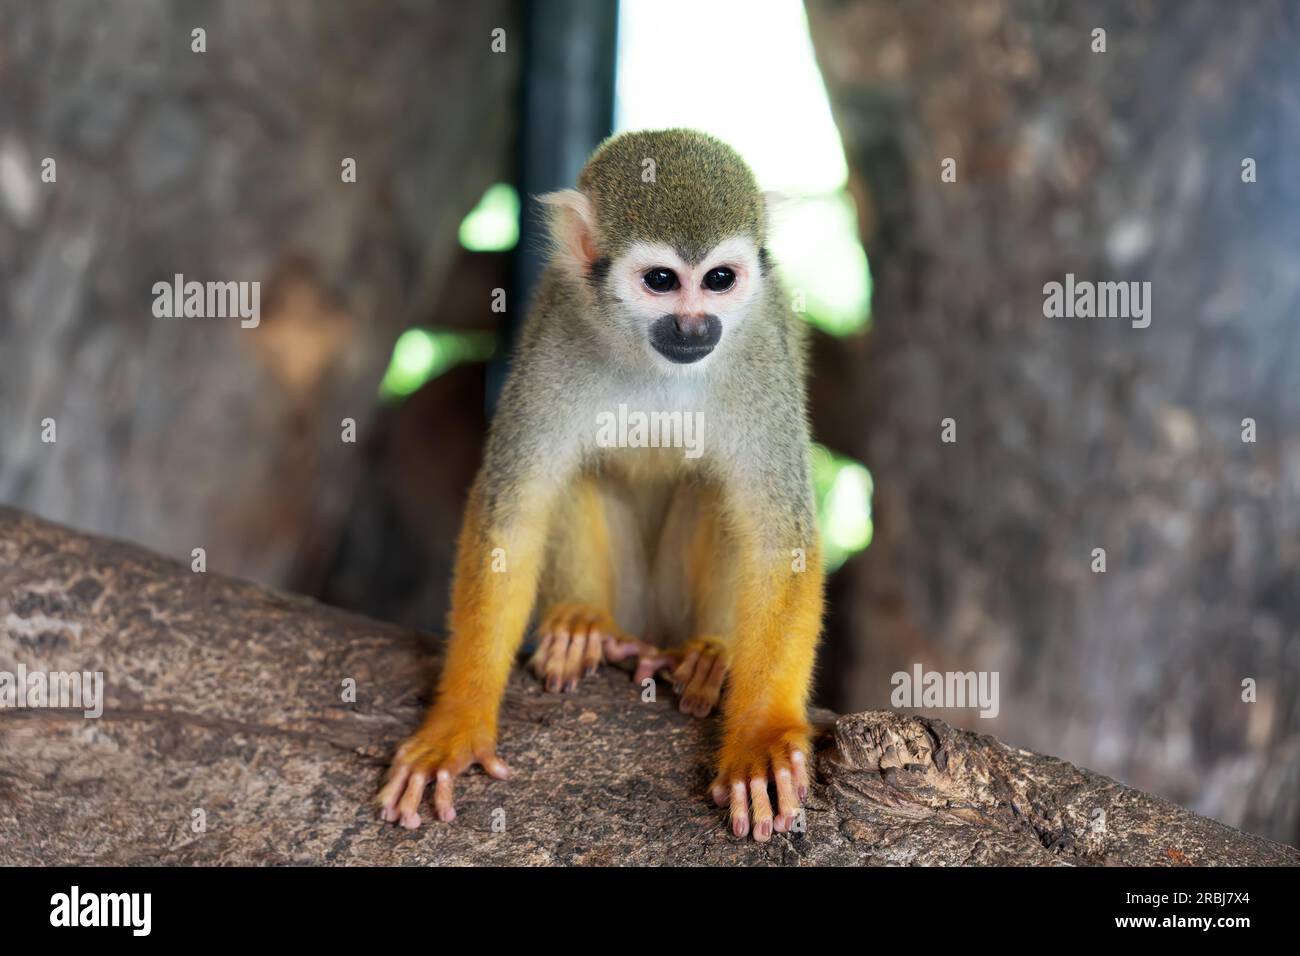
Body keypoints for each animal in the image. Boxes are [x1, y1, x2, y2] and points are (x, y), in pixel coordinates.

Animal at [377, 128, 825, 842]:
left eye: (720, 280)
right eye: (662, 281)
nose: (696, 327)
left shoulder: (760, 357)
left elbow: (780, 536)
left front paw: (758, 739)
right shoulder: (557, 337)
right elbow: (512, 514)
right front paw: (458, 720)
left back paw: (712, 650)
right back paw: (584, 623)